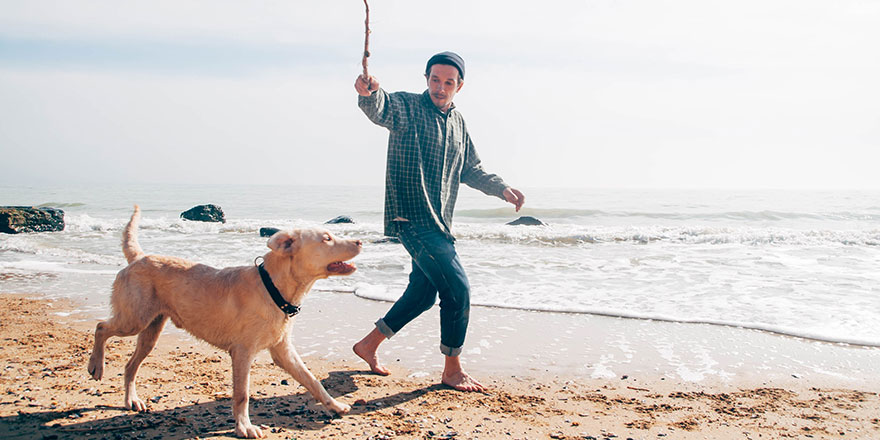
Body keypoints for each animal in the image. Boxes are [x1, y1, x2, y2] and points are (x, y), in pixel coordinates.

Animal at [87, 205, 362, 436]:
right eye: (326, 238)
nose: (359, 241)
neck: (272, 287)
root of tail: (138, 257)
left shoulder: (282, 350)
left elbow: (312, 379)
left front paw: (334, 405)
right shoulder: (242, 352)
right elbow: (242, 394)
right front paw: (244, 427)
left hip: (150, 330)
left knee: (129, 365)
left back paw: (131, 400)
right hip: (134, 319)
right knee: (101, 327)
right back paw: (96, 366)